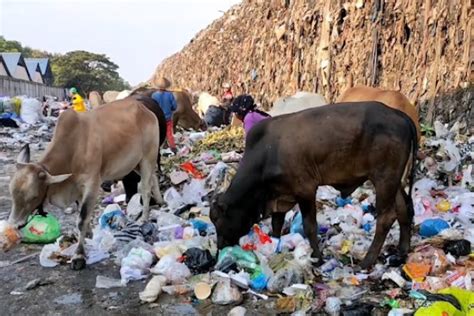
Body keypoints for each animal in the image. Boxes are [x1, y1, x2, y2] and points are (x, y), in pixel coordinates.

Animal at [8, 98, 163, 270]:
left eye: (34, 197)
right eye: (12, 194)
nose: (14, 226)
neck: (73, 148)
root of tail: (146, 110)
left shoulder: (92, 183)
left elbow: (82, 219)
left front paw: (79, 256)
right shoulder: (77, 188)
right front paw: (88, 235)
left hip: (148, 157)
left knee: (146, 188)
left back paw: (144, 219)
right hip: (136, 163)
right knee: (154, 178)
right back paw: (160, 200)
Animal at [209, 102, 416, 270]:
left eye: (218, 220)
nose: (220, 248)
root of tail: (399, 114)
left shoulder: (305, 189)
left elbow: (310, 226)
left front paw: (317, 257)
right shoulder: (280, 195)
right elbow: (276, 225)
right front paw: (275, 246)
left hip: (384, 179)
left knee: (386, 217)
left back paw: (367, 261)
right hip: (394, 182)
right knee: (403, 208)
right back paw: (402, 250)